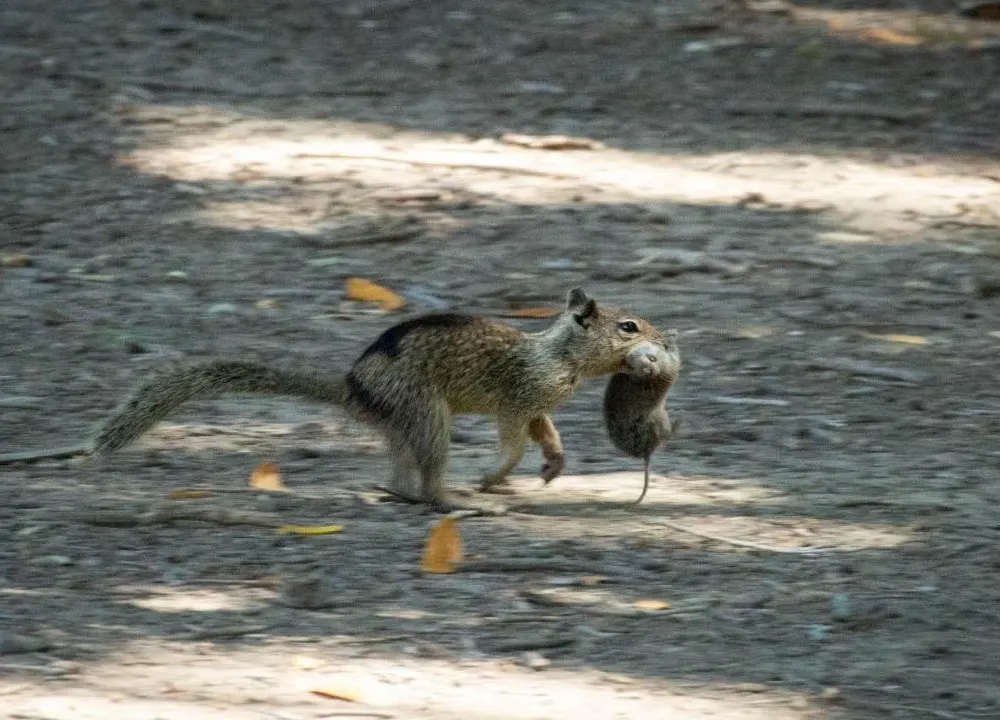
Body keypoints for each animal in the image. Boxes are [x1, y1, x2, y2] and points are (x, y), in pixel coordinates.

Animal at [3, 286, 672, 512]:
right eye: (628, 327)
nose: (666, 341)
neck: (559, 356)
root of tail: (355, 390)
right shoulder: (519, 398)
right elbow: (512, 438)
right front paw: (494, 476)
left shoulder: (538, 405)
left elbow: (544, 433)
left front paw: (553, 466)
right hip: (427, 415)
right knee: (427, 478)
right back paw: (458, 498)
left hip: (408, 424)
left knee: (401, 475)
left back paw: (403, 491)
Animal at [600, 330, 680, 506]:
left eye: (652, 358)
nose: (649, 371)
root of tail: (645, 453)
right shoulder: (670, 365)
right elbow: (675, 356)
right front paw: (671, 336)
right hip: (661, 422)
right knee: (667, 435)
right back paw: (679, 419)